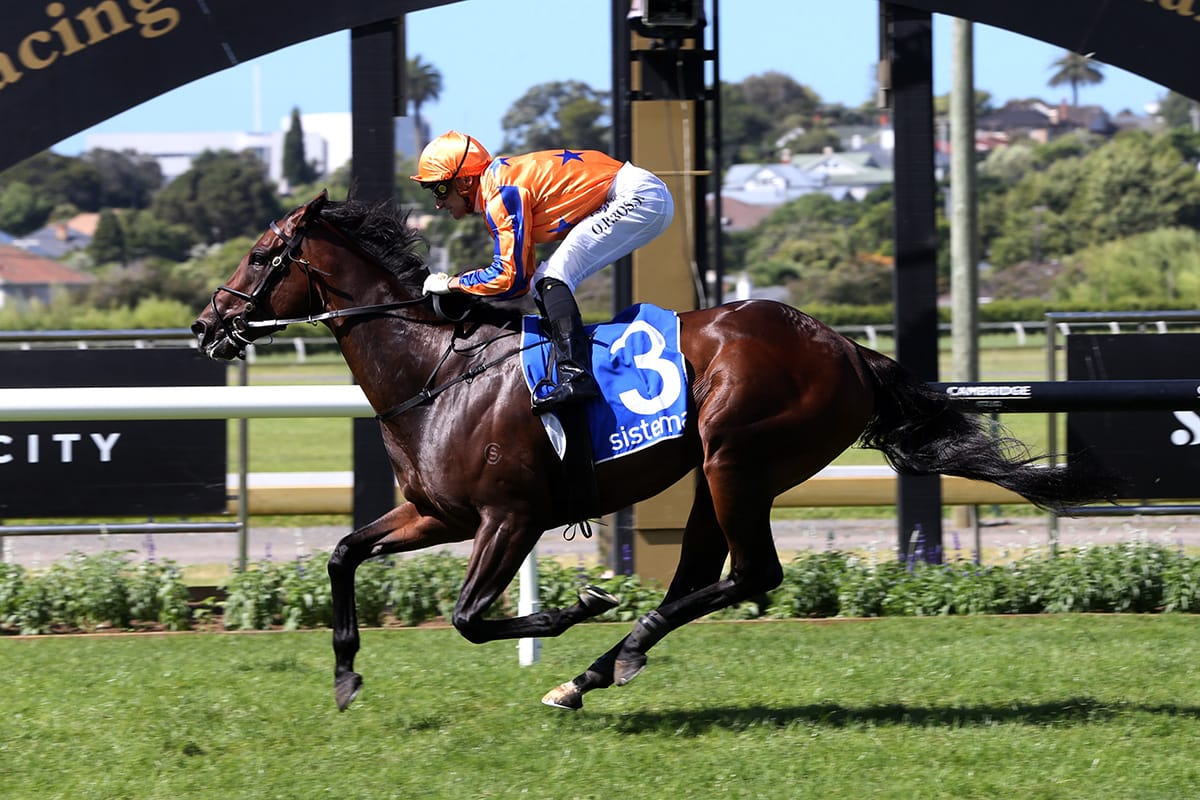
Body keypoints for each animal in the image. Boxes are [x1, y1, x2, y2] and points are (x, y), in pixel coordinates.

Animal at [191, 191, 1116, 712]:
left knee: (752, 574)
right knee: (706, 577)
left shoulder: (509, 516)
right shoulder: (435, 512)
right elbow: (344, 553)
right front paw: (346, 677)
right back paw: (596, 672)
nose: (205, 323)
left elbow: (469, 617)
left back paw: (611, 652)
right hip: (715, 474)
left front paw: (579, 605)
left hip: (737, 458)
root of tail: (850, 350)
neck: (437, 371)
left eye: (262, 253)